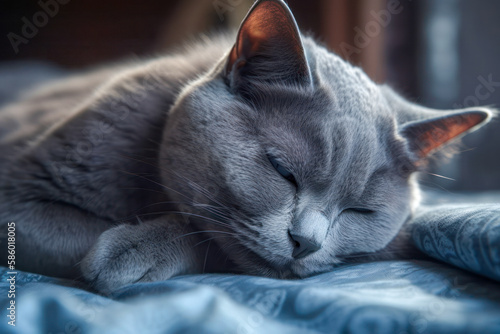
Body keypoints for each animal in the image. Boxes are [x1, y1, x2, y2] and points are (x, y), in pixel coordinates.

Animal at [0, 0, 494, 292]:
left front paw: (134, 250)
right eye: (282, 171)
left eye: (361, 211)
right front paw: (127, 252)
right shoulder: (18, 199)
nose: (306, 243)